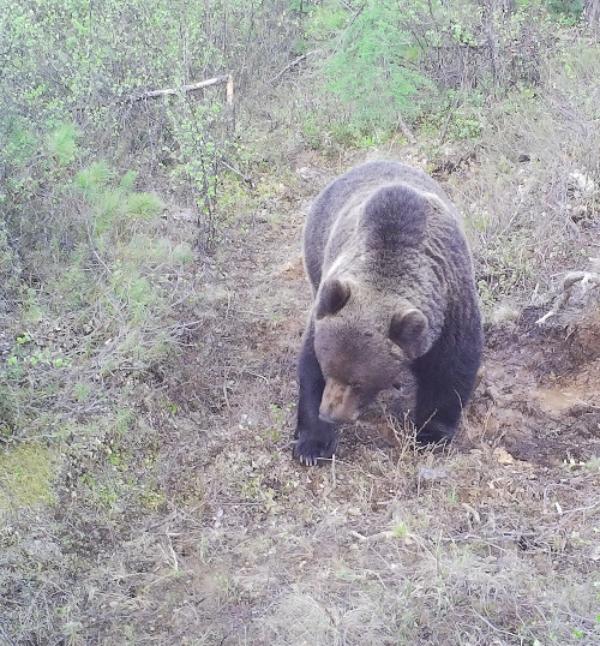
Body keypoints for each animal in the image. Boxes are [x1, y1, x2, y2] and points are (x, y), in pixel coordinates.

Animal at [292, 161, 486, 466]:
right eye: (329, 368)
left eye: (358, 382)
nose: (331, 413)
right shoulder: (325, 311)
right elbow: (309, 370)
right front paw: (312, 445)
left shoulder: (452, 306)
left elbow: (450, 370)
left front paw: (430, 435)